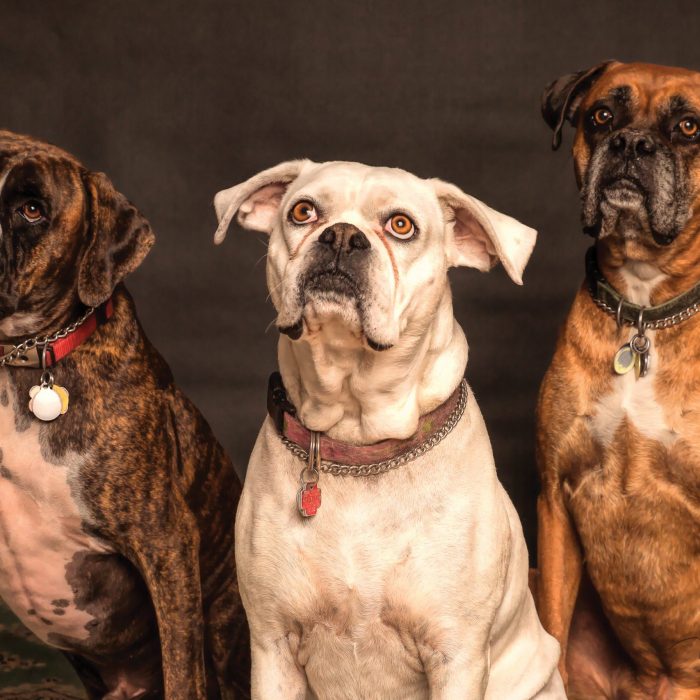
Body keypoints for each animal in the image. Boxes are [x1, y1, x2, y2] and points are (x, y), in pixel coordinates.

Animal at [213, 161, 564, 696]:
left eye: (401, 225)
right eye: (303, 211)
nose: (341, 236)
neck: (357, 438)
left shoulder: (456, 655)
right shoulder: (272, 646)